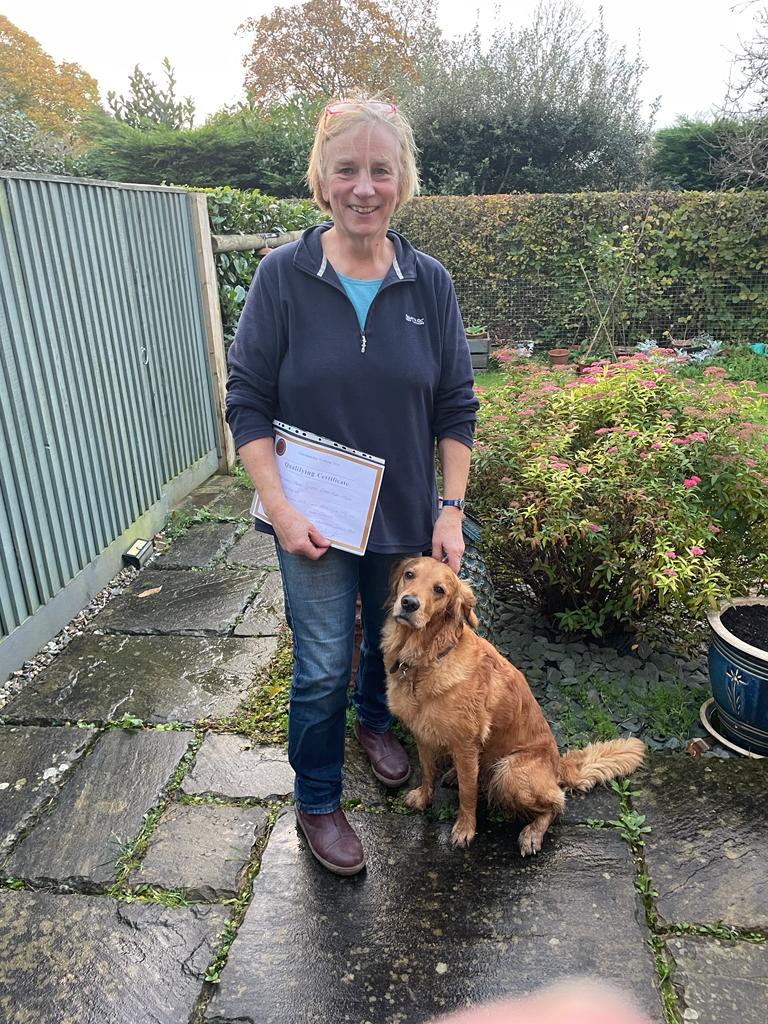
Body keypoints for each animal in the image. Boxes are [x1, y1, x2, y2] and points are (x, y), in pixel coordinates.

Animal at [382, 557, 645, 855]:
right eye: (409, 575)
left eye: (439, 590)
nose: (408, 603)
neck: (428, 657)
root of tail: (558, 766)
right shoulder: (422, 733)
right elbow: (427, 771)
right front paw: (424, 797)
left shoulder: (466, 743)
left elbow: (467, 795)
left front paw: (465, 829)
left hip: (510, 772)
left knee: (556, 804)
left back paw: (532, 833)